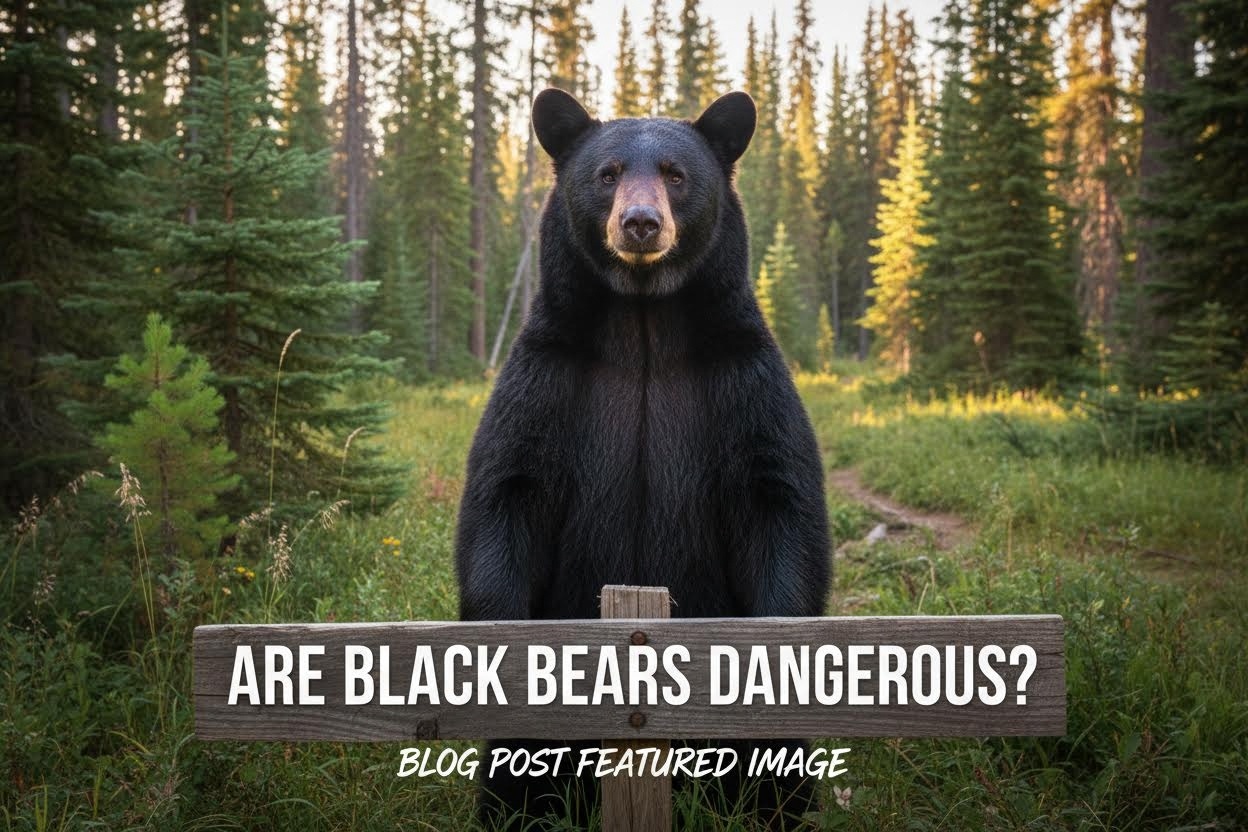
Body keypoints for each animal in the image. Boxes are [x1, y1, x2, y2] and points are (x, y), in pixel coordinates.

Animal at [455, 88, 830, 830]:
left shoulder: (742, 379)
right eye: (607, 173)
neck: (644, 325)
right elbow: (506, 495)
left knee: (777, 777)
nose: (639, 223)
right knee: (514, 776)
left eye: (676, 174)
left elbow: (779, 502)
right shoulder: (548, 378)